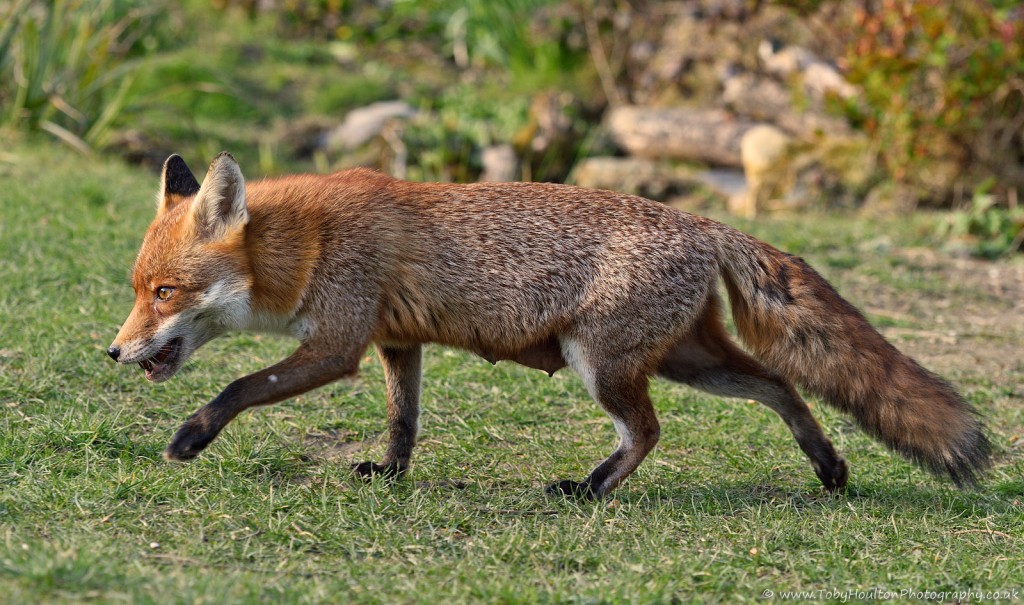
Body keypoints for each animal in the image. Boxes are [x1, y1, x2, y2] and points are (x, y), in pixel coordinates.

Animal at [105, 153, 991, 499]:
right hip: (687, 360)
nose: (113, 350)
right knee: (782, 384)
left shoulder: (336, 345)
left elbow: (239, 383)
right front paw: (390, 473)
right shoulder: (397, 340)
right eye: (138, 289)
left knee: (649, 430)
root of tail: (705, 222)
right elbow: (403, 421)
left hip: (605, 363)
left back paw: (591, 488)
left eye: (165, 291)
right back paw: (828, 466)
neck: (311, 241)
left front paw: (191, 435)